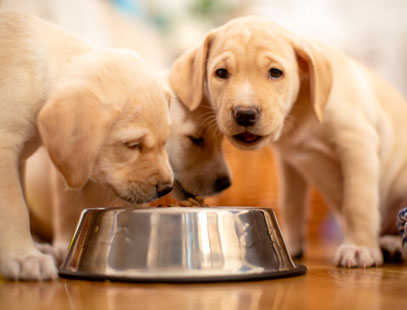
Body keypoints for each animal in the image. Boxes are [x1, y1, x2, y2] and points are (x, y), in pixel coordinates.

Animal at [0, 11, 174, 280]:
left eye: (166, 141)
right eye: (132, 145)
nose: (167, 188)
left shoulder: (18, 161)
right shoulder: (5, 149)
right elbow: (14, 208)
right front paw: (23, 256)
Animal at [171, 15, 407, 268]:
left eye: (275, 72)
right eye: (221, 73)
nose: (245, 114)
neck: (300, 114)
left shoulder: (357, 143)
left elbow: (358, 203)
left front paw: (359, 247)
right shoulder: (291, 163)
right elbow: (291, 204)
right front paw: (290, 244)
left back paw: (393, 244)